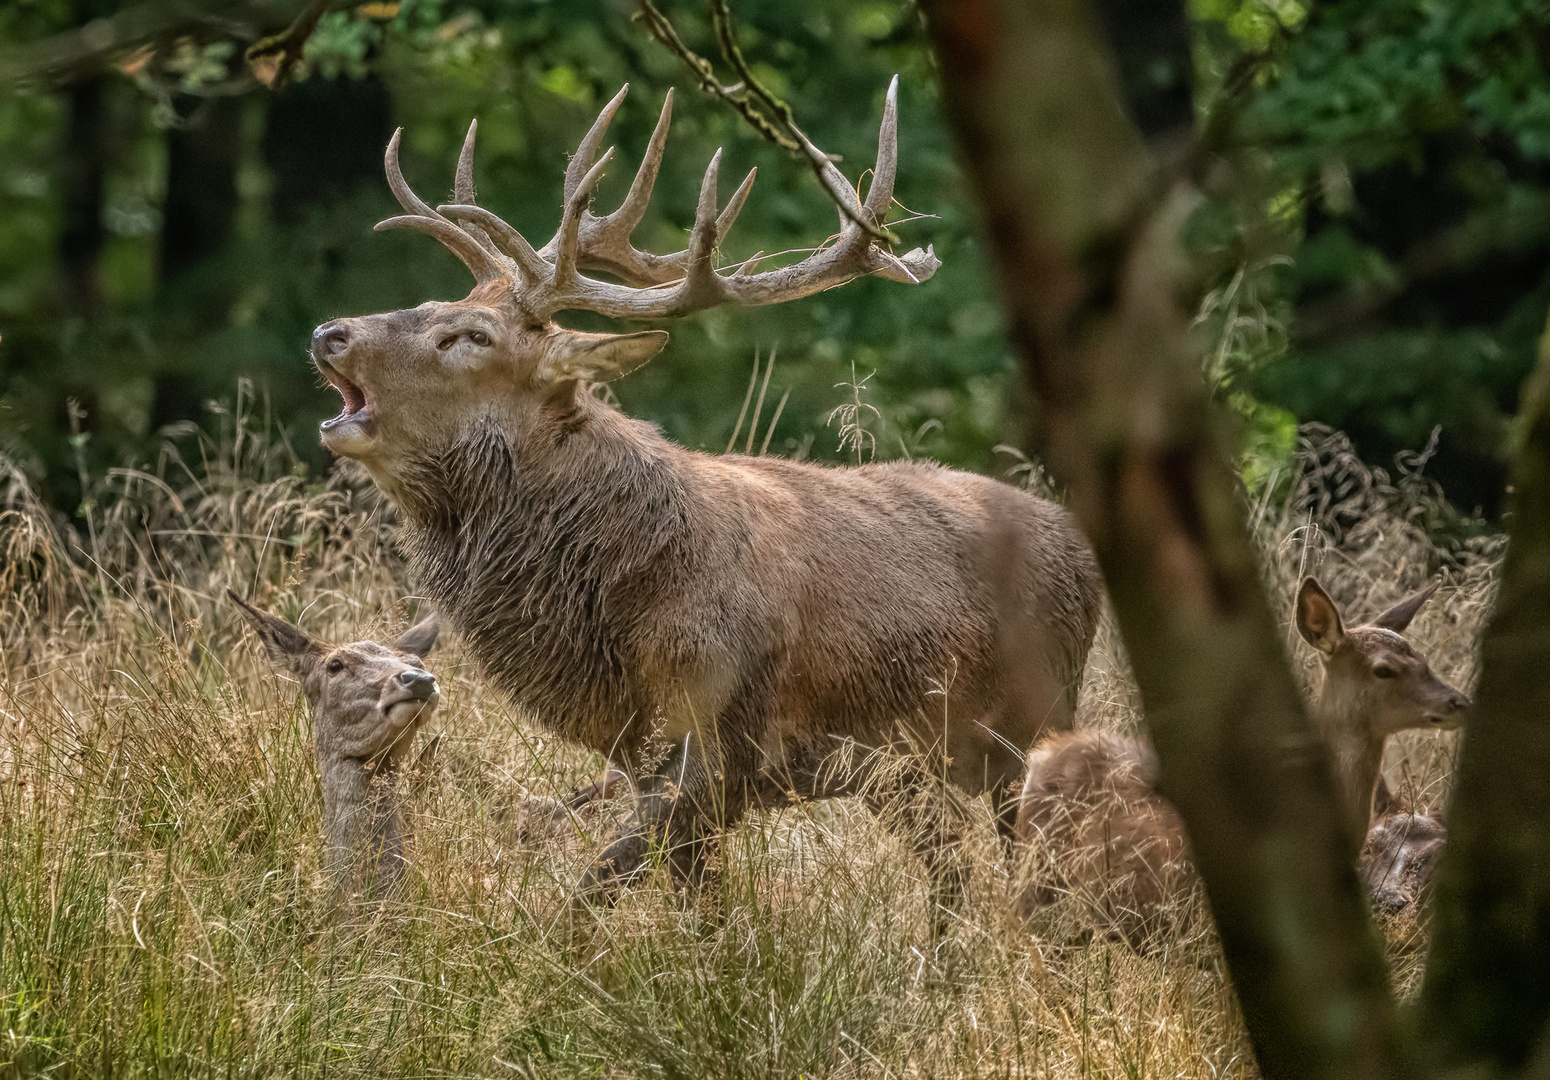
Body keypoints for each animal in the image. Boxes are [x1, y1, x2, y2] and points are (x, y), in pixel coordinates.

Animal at [305, 80, 1103, 923]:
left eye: (468, 334)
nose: (330, 331)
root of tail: (1081, 549)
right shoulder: (653, 759)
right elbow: (699, 917)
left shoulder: (719, 736)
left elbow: (590, 892)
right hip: (907, 771)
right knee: (953, 878)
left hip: (1037, 723)